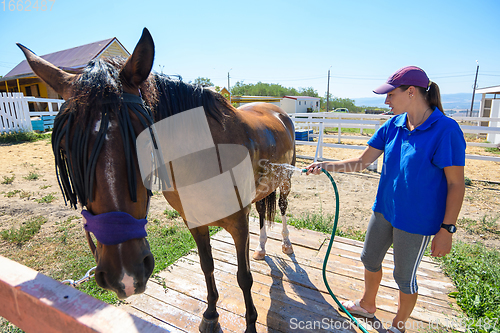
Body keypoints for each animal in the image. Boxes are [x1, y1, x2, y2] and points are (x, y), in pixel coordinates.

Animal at [19, 28, 296, 332]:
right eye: (67, 149)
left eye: (144, 140)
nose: (125, 274)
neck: (207, 156)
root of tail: (275, 110)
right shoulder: (195, 223)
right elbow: (206, 266)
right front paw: (210, 315)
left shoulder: (238, 223)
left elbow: (243, 277)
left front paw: (249, 323)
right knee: (262, 211)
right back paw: (260, 249)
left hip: (286, 181)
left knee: (282, 209)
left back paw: (286, 243)